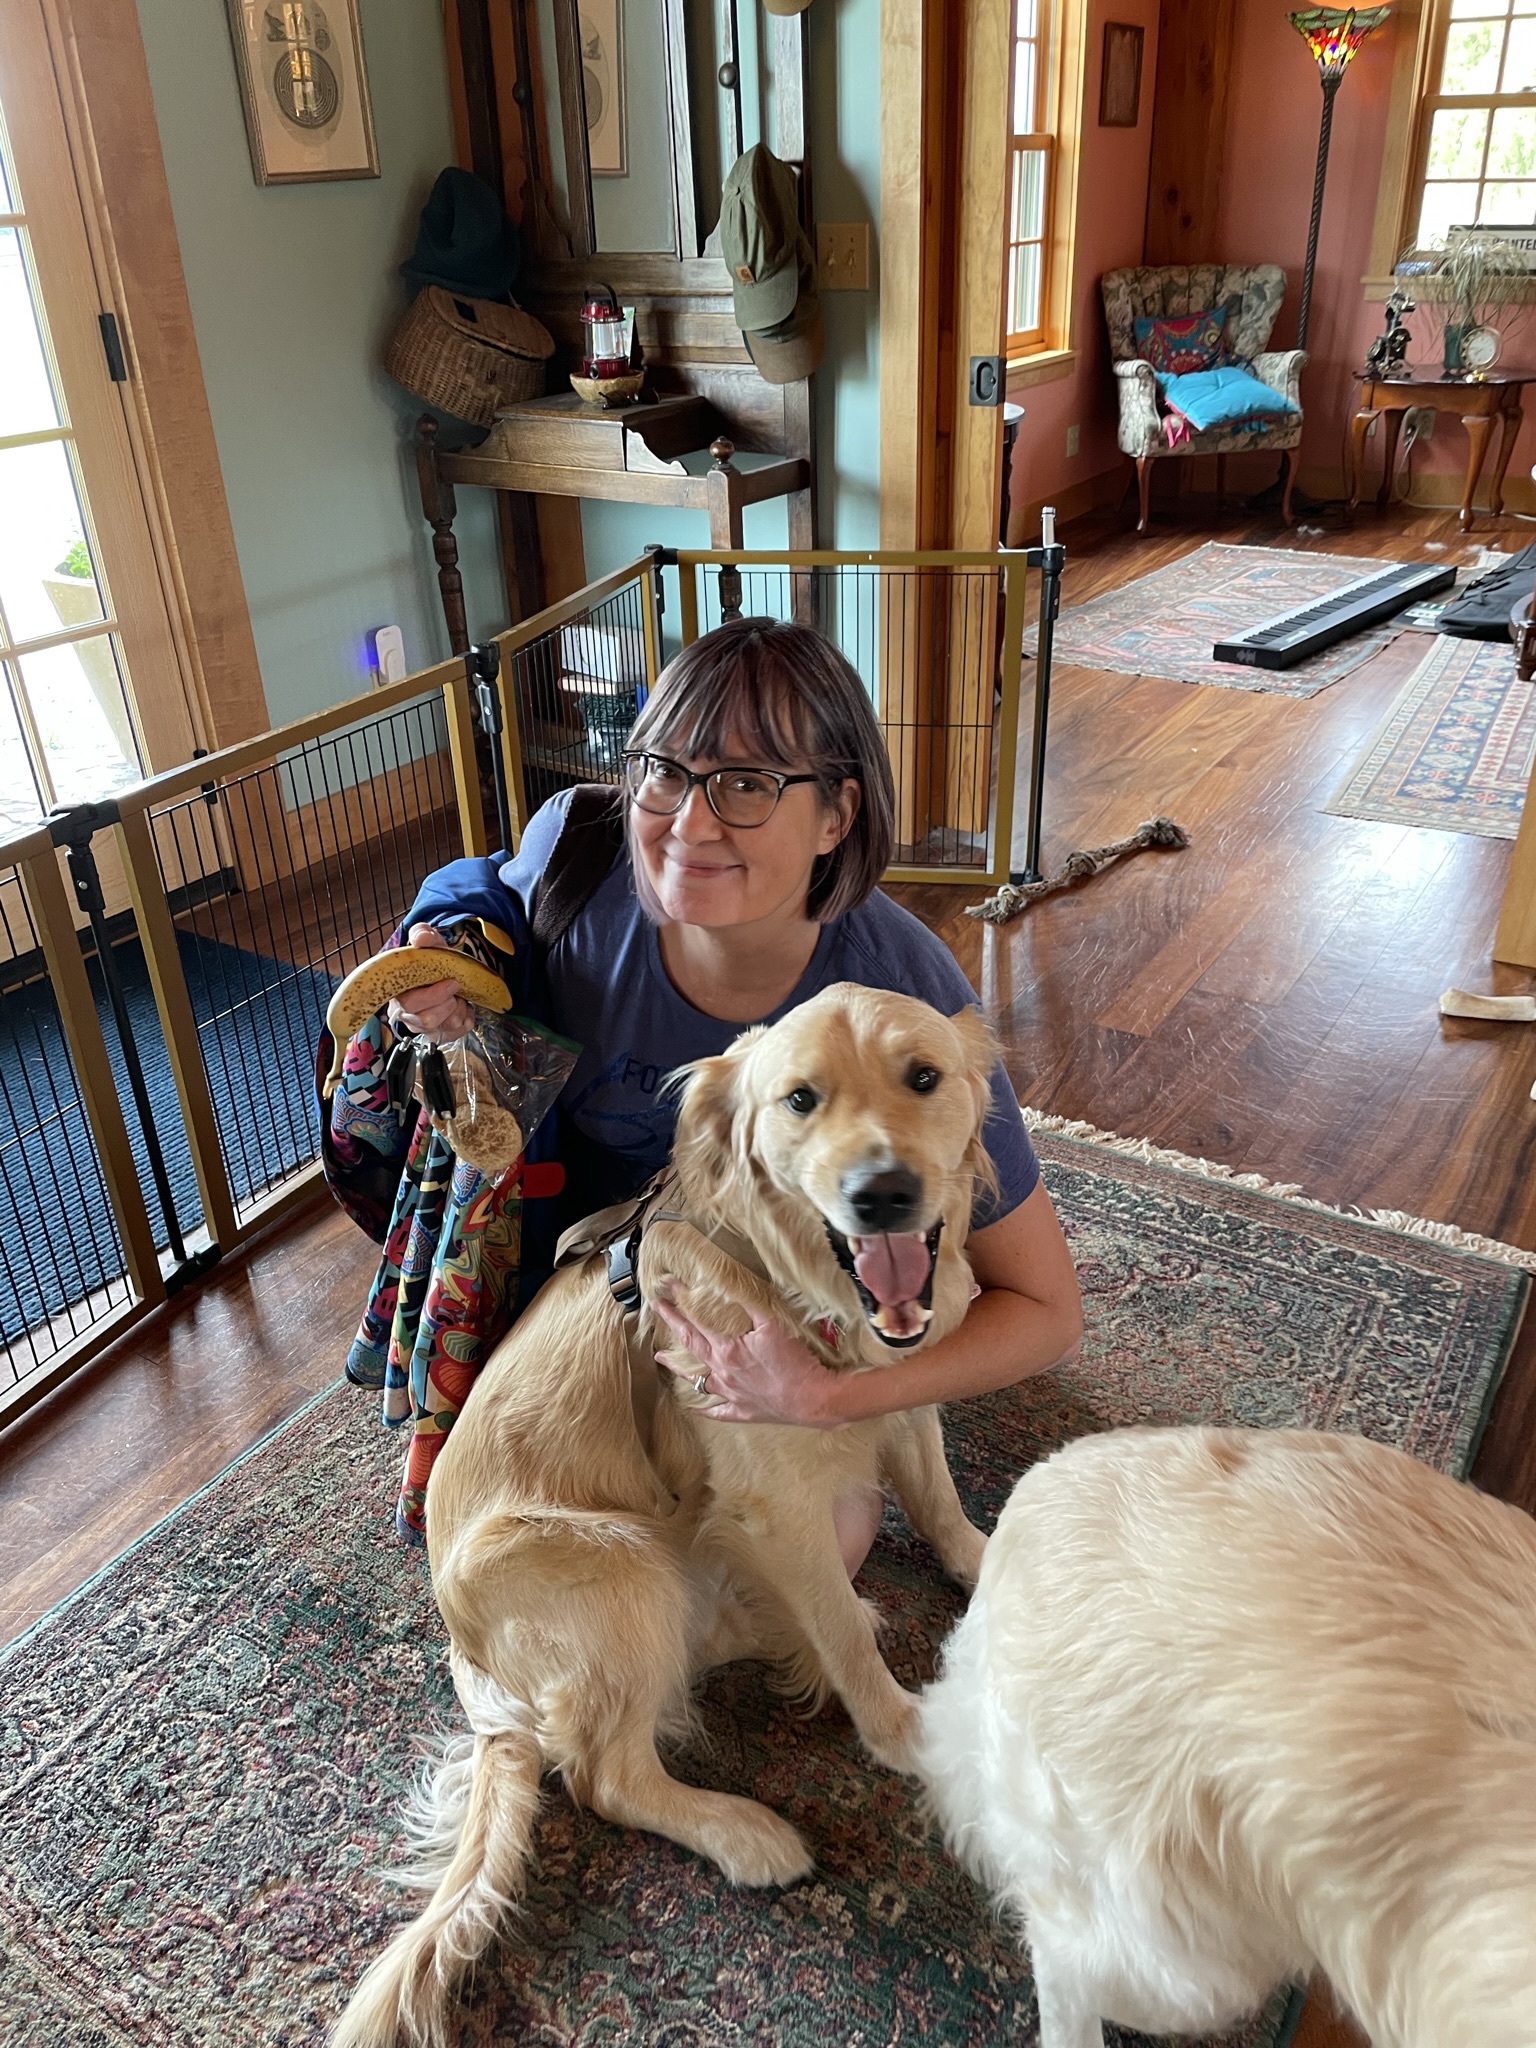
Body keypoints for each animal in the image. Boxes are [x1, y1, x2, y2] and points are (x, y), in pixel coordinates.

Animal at [332, 982, 999, 2048]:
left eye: (925, 1077)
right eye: (801, 1099)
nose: (884, 1194)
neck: (790, 1276)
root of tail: (471, 1662)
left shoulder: (901, 1396)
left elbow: (939, 1500)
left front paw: (992, 1556)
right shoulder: (774, 1502)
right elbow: (856, 1652)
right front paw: (904, 1731)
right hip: (618, 1565)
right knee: (607, 1775)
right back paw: (746, 1831)